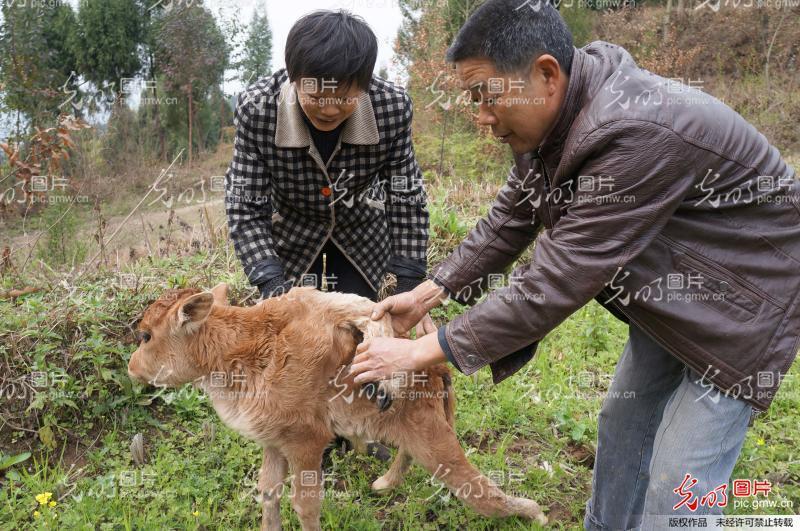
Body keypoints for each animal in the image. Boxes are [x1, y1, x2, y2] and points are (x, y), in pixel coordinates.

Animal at [128, 284, 548, 531]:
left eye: (146, 335)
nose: (132, 367)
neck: (240, 350)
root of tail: (438, 370)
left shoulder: (306, 443)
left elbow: (305, 504)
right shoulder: (273, 443)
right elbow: (268, 492)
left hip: (436, 442)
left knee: (480, 491)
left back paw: (535, 513)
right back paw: (383, 483)